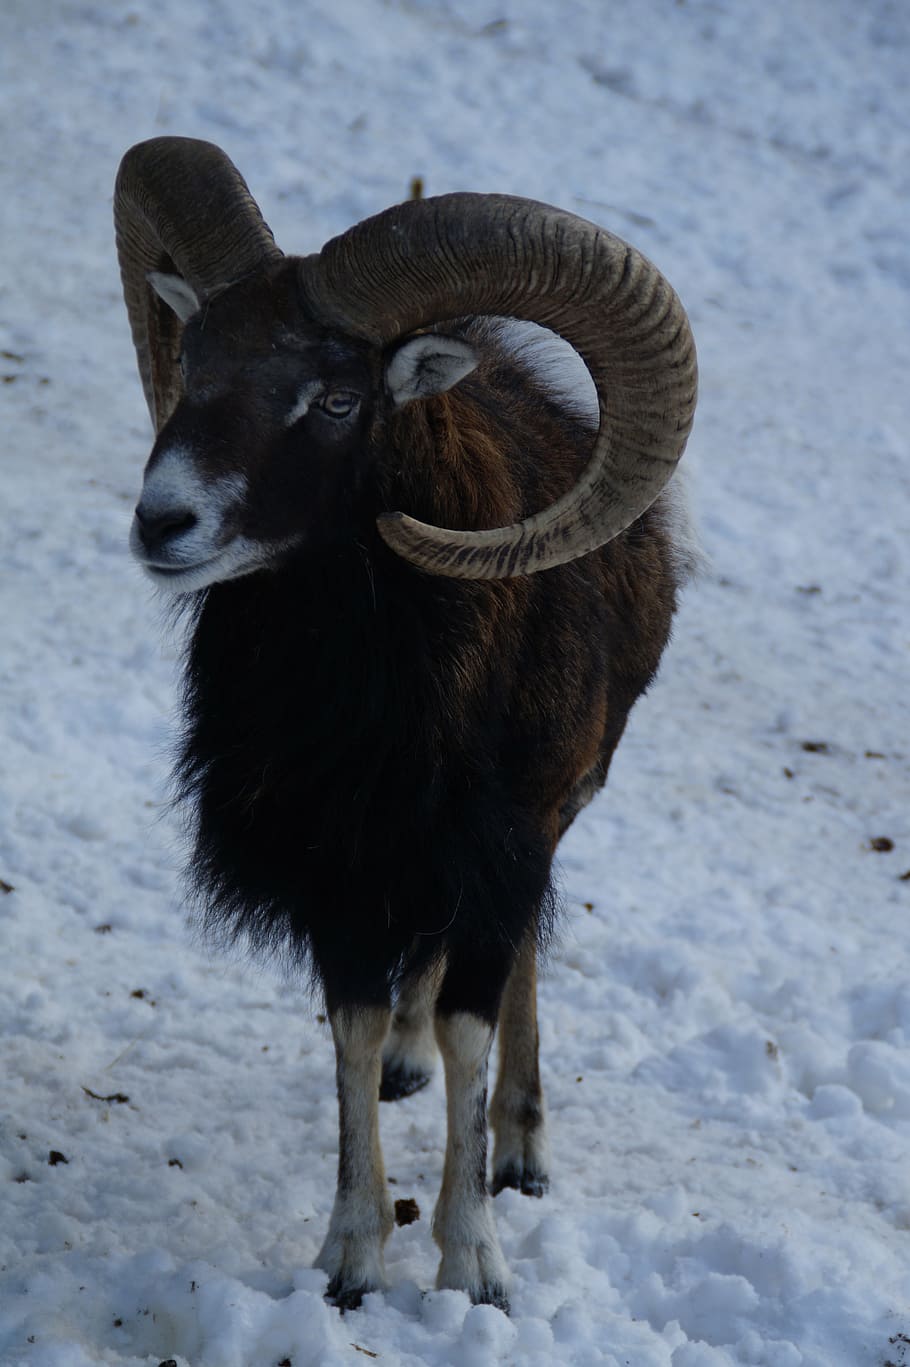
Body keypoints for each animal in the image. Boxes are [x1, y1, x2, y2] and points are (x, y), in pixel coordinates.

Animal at [114, 136, 698, 1313]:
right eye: (194, 358)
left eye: (338, 398)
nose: (163, 523)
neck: (387, 717)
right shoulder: (338, 868)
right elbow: (355, 1026)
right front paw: (349, 1262)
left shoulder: (504, 850)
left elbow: (476, 1029)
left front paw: (475, 1267)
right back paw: (408, 1070)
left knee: (516, 975)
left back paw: (522, 1149)